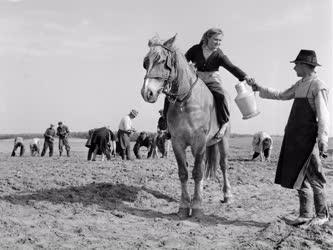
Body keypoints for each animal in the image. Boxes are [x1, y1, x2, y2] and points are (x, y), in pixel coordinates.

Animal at [140, 34, 231, 218]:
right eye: (146, 62)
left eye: (162, 60)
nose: (147, 93)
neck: (186, 101)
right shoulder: (177, 143)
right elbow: (184, 173)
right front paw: (184, 205)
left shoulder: (200, 142)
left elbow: (197, 173)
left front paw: (196, 206)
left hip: (222, 141)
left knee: (223, 165)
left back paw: (227, 195)